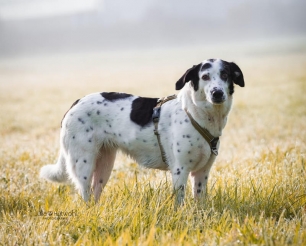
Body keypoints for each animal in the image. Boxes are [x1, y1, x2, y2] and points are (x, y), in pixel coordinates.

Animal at [39, 58, 245, 205]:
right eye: (205, 77)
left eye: (225, 74)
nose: (217, 93)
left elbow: (199, 200)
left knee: (96, 192)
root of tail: (76, 102)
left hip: (105, 163)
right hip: (83, 163)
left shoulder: (202, 172)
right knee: (85, 193)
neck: (196, 113)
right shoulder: (180, 170)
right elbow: (180, 202)